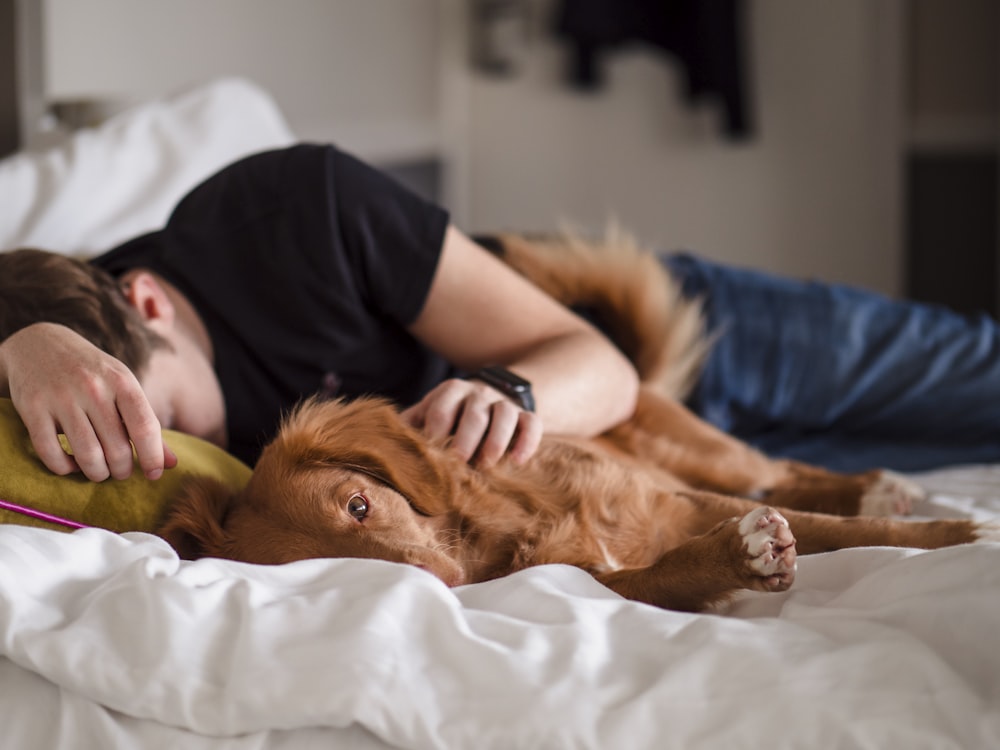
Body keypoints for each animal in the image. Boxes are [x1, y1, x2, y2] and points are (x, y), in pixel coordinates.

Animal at [160, 232, 996, 612]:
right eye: (332, 569)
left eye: (361, 505)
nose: (443, 583)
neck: (502, 527)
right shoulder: (595, 578)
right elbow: (666, 571)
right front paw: (737, 558)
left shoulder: (676, 497)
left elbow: (852, 533)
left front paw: (961, 533)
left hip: (709, 455)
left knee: (785, 470)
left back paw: (878, 486)